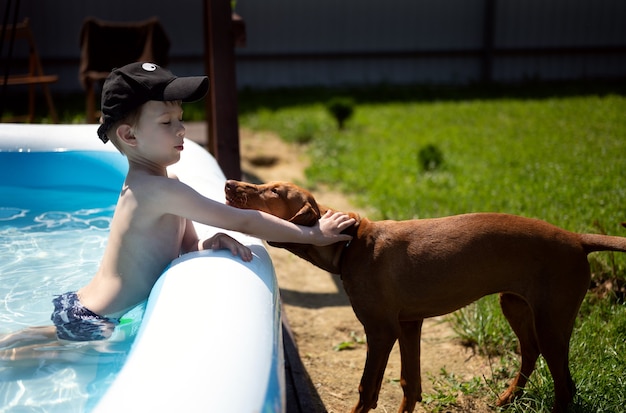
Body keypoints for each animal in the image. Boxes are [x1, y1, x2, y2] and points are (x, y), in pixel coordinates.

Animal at [224, 179, 624, 410]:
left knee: (565, 386)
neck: (351, 245)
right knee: (530, 353)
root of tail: (576, 239)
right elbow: (409, 384)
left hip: (552, 319)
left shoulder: (380, 330)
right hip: (516, 305)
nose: (228, 182)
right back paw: (508, 398)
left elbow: (367, 390)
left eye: (274, 191)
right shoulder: (409, 324)